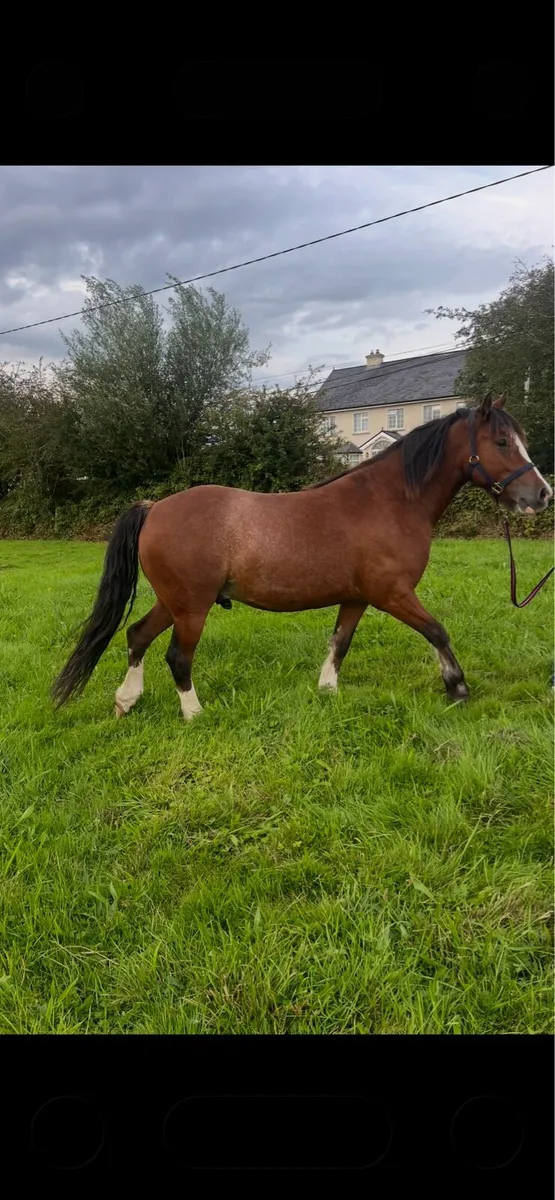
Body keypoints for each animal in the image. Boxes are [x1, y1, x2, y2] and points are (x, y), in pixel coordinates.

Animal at [52, 393, 552, 720]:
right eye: (502, 442)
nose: (542, 495)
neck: (389, 501)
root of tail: (154, 508)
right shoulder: (393, 594)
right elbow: (437, 631)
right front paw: (458, 688)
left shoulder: (357, 597)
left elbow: (340, 643)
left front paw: (327, 690)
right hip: (191, 607)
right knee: (177, 656)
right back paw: (194, 713)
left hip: (174, 601)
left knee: (136, 636)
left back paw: (126, 701)